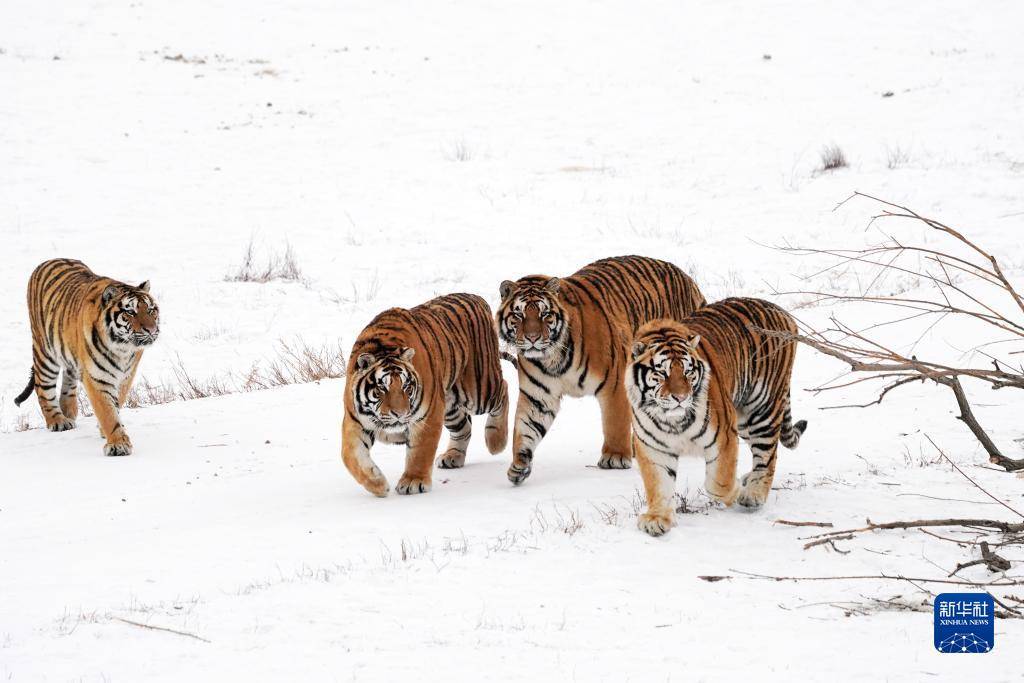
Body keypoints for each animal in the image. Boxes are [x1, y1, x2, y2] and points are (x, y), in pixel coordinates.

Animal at [12, 259, 160, 456]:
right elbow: (107, 411)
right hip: (45, 352)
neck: (122, 348)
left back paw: (68, 411)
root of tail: (49, 261)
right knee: (43, 387)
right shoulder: (97, 378)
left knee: (68, 380)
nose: (151, 330)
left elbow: (117, 402)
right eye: (130, 312)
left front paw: (106, 431)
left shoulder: (126, 376)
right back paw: (58, 421)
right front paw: (118, 444)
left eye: (151, 310)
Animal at [339, 292, 507, 497]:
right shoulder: (354, 421)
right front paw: (377, 484)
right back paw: (453, 457)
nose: (400, 414)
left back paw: (496, 441)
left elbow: (420, 452)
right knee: (464, 427)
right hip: (449, 404)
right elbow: (350, 456)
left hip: (478, 389)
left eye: (406, 387)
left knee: (504, 390)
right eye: (381, 389)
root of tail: (477, 297)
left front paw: (413, 482)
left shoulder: (428, 416)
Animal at [493, 254, 704, 485]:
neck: (552, 359)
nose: (532, 338)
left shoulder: (615, 382)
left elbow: (615, 422)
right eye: (519, 315)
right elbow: (525, 429)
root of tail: (688, 279)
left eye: (545, 314)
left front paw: (615, 457)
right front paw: (519, 466)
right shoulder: (538, 396)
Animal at [622, 296, 806, 536]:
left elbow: (719, 484)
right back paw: (748, 479)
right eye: (662, 373)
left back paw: (753, 493)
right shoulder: (653, 447)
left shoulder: (724, 437)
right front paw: (657, 518)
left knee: (767, 455)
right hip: (744, 420)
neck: (672, 421)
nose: (681, 397)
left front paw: (736, 490)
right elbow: (659, 485)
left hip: (762, 410)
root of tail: (783, 312)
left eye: (688, 372)